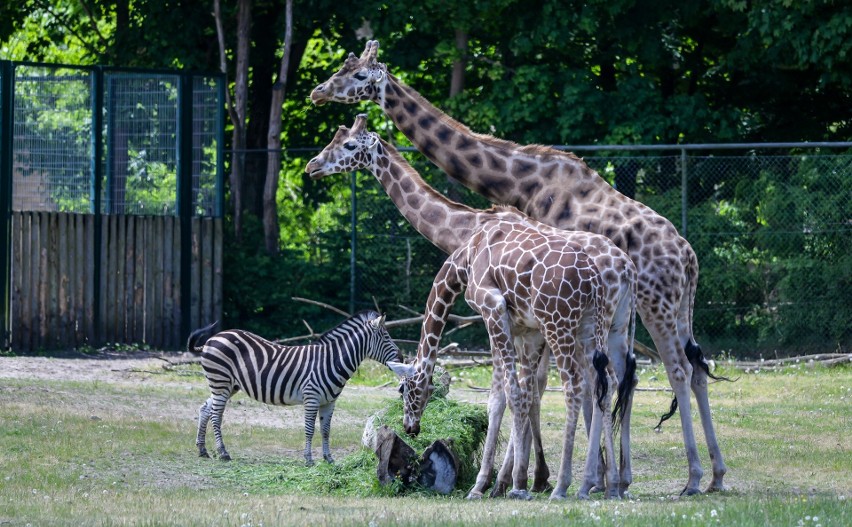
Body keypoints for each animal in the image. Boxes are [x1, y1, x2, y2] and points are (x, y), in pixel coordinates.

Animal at [188, 310, 402, 466]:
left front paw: (329, 459)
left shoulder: (329, 402)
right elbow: (309, 429)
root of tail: (211, 339)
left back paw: (202, 450)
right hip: (221, 381)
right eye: (386, 337)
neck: (331, 361)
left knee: (205, 408)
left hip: (228, 385)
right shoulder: (311, 397)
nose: (401, 357)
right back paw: (223, 452)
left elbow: (326, 430)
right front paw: (308, 459)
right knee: (216, 415)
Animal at [306, 115, 640, 500]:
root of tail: (624, 269)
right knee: (616, 381)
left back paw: (581, 482)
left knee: (583, 385)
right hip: (614, 328)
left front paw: (506, 481)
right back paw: (613, 481)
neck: (467, 230)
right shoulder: (525, 329)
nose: (312, 166)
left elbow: (512, 394)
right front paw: (521, 477)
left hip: (569, 326)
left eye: (348, 145)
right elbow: (524, 392)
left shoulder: (502, 316)